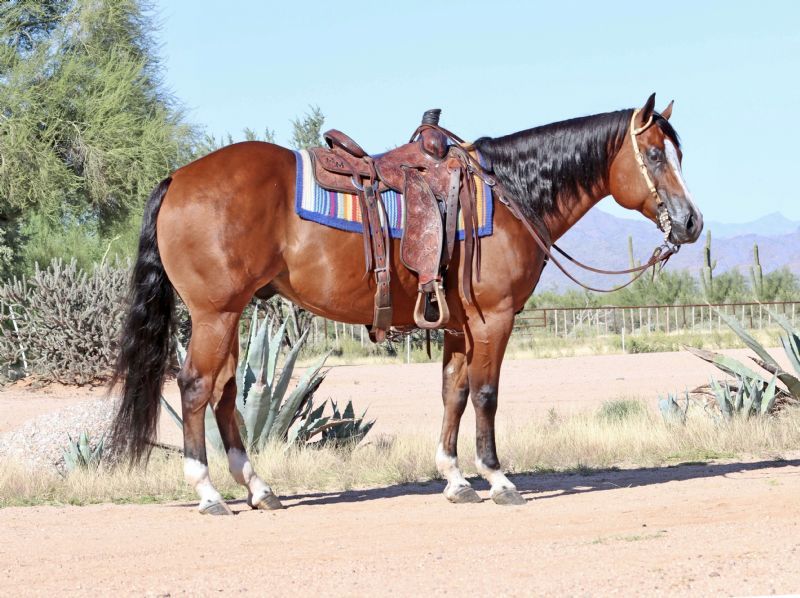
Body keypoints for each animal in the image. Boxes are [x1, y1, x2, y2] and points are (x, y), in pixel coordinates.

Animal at [110, 93, 703, 514]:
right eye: (654, 154)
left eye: (678, 153)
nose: (691, 222)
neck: (508, 194)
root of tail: (178, 177)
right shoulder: (494, 319)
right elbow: (485, 396)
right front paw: (498, 479)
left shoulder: (460, 326)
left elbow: (453, 395)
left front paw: (456, 479)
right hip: (215, 314)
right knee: (195, 388)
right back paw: (209, 493)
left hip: (232, 315)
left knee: (227, 392)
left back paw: (259, 488)